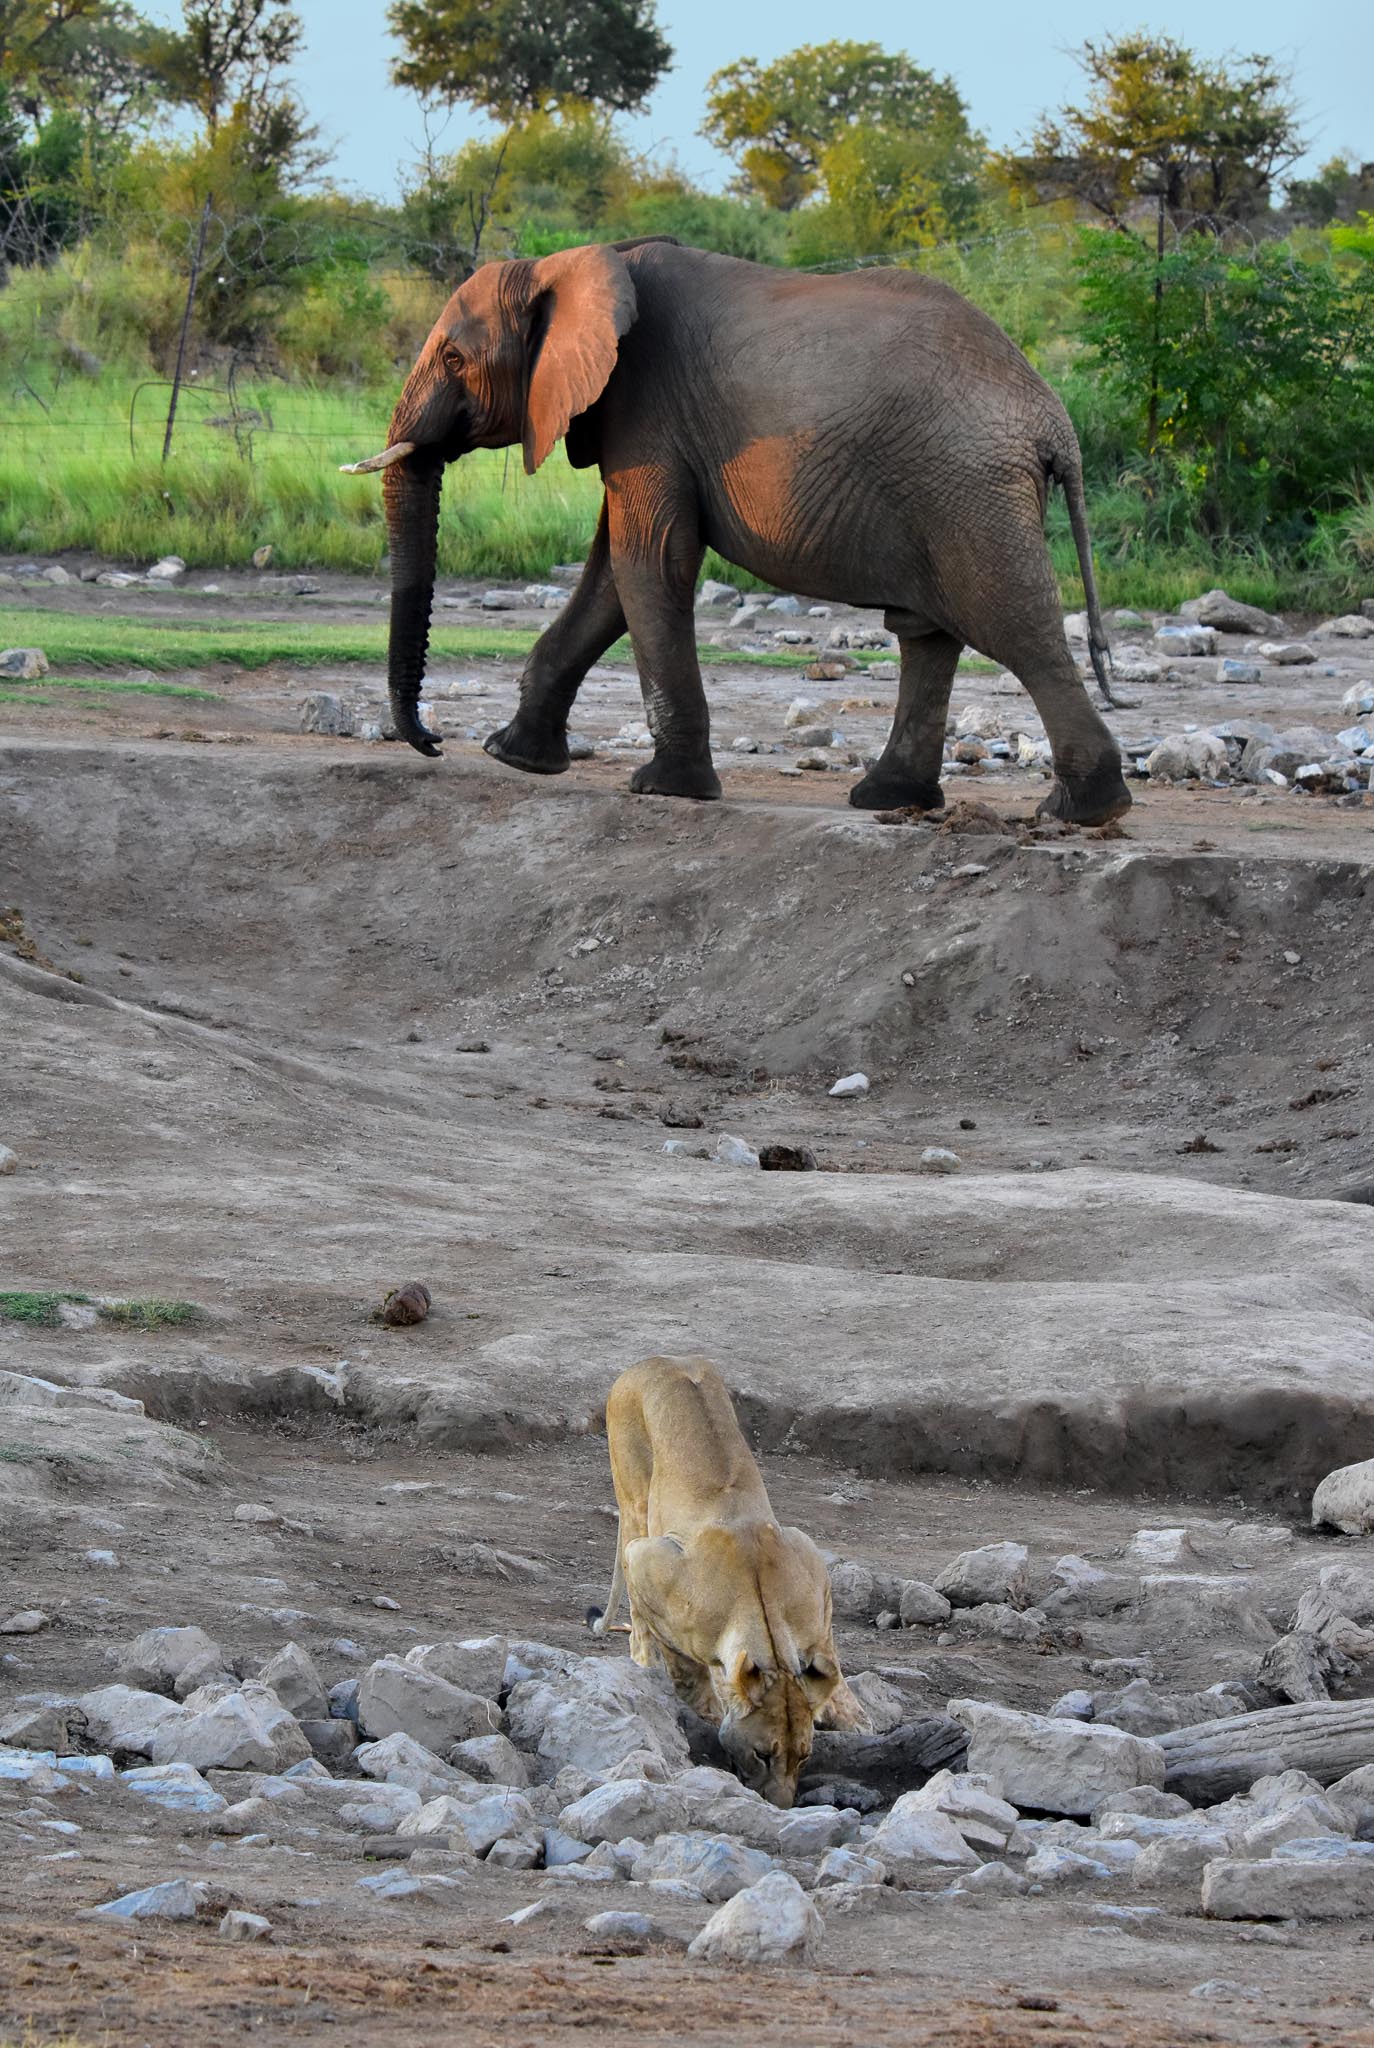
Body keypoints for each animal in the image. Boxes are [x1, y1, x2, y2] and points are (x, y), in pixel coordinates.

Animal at [344, 237, 1131, 824]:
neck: (568, 263)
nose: (432, 742)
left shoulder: (647, 408)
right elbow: (609, 574)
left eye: (454, 358)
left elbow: (648, 561)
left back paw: (1081, 811)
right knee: (928, 633)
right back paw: (890, 799)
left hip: (968, 488)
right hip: (947, 489)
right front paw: (512, 756)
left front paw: (663, 788)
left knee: (1012, 625)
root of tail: (1052, 418)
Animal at [591, 1354, 869, 1807]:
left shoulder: (810, 1563)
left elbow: (829, 1659)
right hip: (633, 1503)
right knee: (637, 1616)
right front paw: (705, 1710)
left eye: (804, 1756)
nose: (782, 1806)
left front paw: (850, 1714)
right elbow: (684, 1666)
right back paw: (645, 1667)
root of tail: (657, 1360)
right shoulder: (648, 1561)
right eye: (761, 1754)